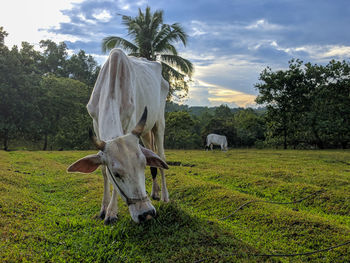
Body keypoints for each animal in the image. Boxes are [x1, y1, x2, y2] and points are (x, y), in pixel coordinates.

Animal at [66, 49, 170, 225]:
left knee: (161, 156)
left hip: (159, 121)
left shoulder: (131, 123)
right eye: (116, 174)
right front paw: (103, 208)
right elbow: (103, 170)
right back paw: (155, 192)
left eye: (142, 166)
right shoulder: (96, 125)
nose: (146, 214)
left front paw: (111, 212)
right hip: (145, 132)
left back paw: (164, 195)